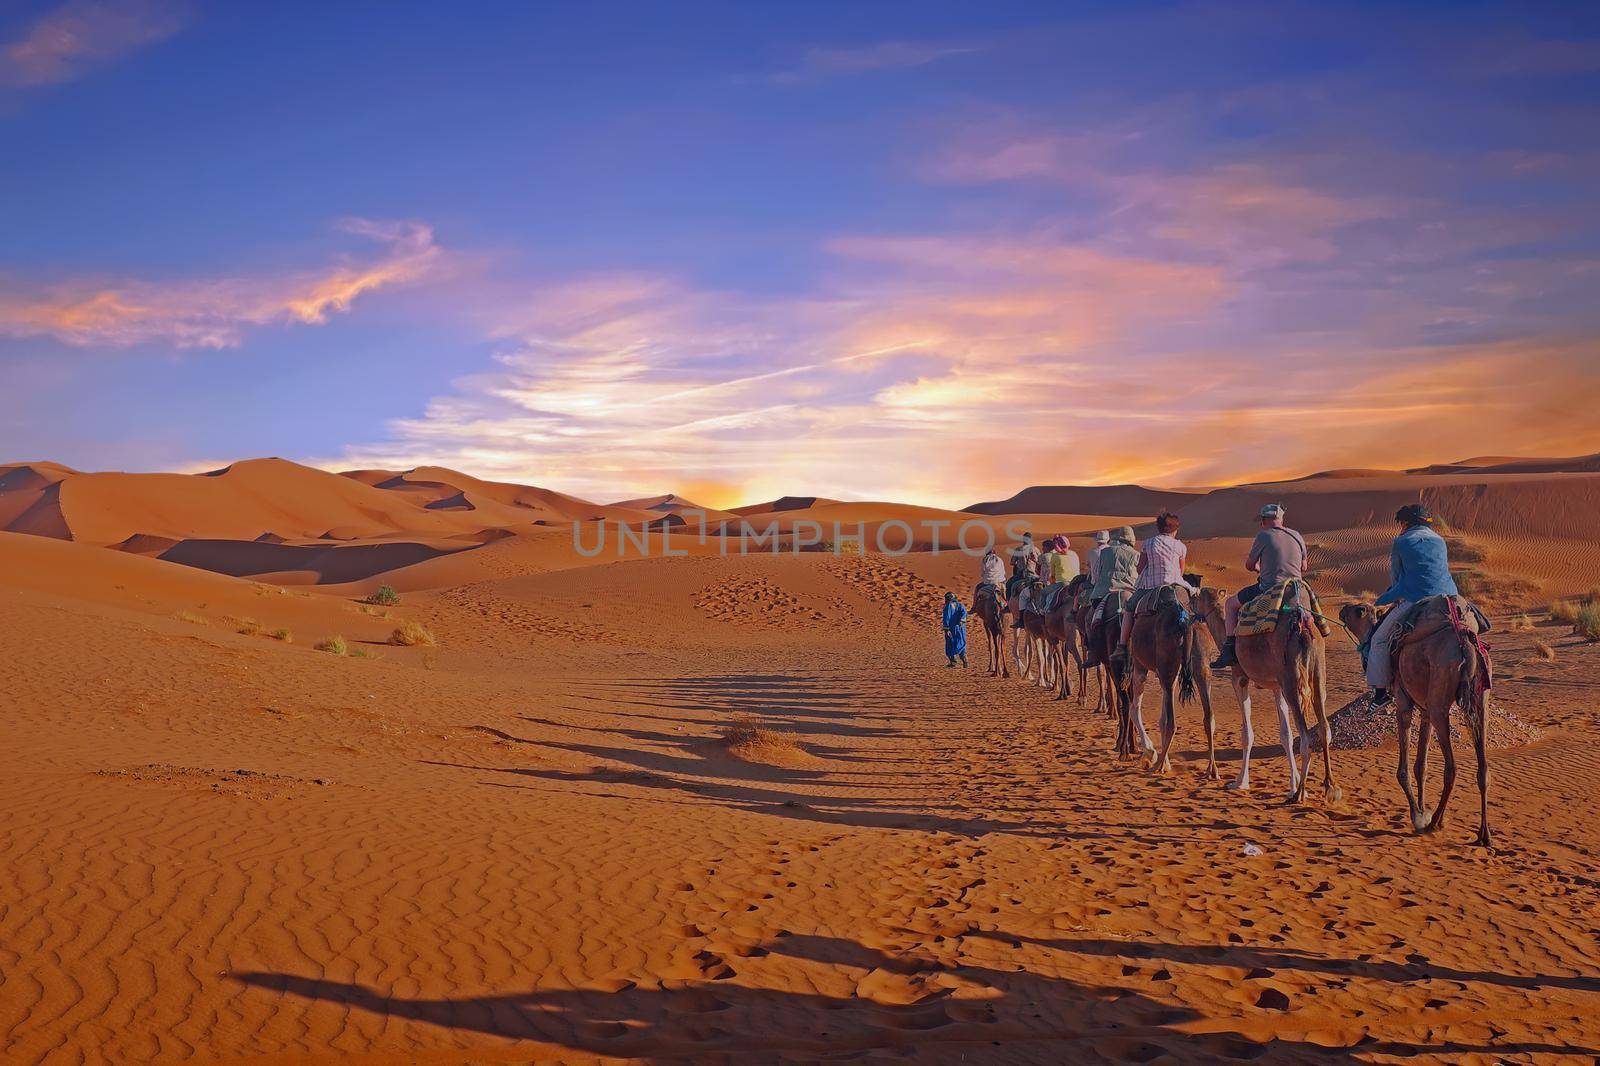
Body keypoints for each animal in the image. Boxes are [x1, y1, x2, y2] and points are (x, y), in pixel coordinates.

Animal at [1120, 585, 1216, 777]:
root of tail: (1185, 623)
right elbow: (1161, 719)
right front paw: (1164, 762)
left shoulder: (1140, 667)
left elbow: (1136, 709)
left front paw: (1151, 754)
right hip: (1200, 665)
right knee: (1208, 716)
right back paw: (1212, 770)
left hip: (1165, 668)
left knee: (1171, 722)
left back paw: (1156, 767)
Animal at [1190, 585, 1337, 800]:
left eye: (1198, 595)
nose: (1190, 602)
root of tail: (1302, 629)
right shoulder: (1277, 687)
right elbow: (1285, 735)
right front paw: (1292, 783)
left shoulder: (1239, 678)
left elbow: (1247, 734)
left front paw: (1240, 782)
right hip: (1317, 674)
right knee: (1324, 728)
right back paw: (1329, 787)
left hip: (1292, 681)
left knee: (1306, 736)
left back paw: (1300, 793)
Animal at [1331, 601, 1491, 845]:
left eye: (1360, 610)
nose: (1343, 608)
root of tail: (1466, 647)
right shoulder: (1424, 711)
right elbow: (1420, 767)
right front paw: (1423, 810)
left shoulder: (1404, 703)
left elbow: (1404, 770)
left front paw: (1417, 816)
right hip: (1479, 703)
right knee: (1483, 769)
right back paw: (1483, 835)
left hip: (1440, 704)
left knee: (1451, 768)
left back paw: (1434, 823)